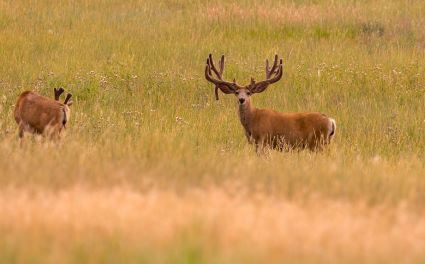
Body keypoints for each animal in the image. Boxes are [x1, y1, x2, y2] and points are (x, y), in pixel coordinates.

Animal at [204, 54, 336, 152]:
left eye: (248, 92)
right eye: (236, 92)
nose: (241, 100)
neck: (253, 120)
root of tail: (331, 121)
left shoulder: (263, 140)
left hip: (319, 143)